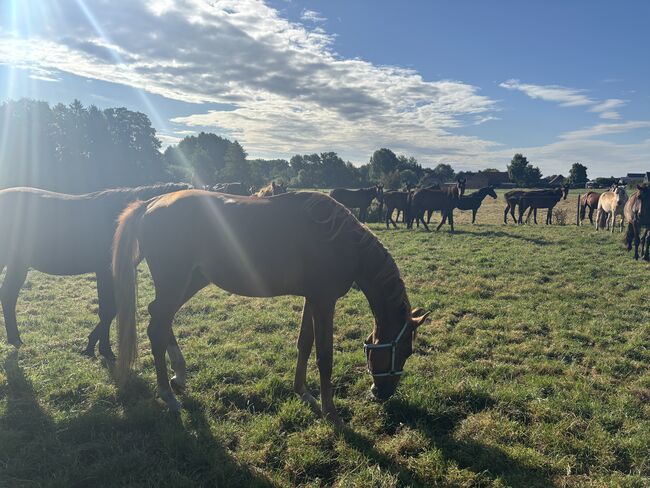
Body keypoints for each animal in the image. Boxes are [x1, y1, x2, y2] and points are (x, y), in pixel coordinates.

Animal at [0, 182, 191, 358]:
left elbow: (110, 310)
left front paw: (96, 346)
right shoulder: (105, 272)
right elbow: (107, 310)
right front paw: (102, 349)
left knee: (8, 295)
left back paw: (14, 339)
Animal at [112, 190, 430, 425]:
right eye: (405, 351)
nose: (382, 393)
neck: (343, 240)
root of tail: (151, 203)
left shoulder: (312, 299)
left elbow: (304, 344)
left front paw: (303, 392)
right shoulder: (324, 301)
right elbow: (324, 356)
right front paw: (331, 413)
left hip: (192, 281)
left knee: (160, 317)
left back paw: (179, 375)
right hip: (176, 282)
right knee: (157, 326)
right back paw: (167, 393)